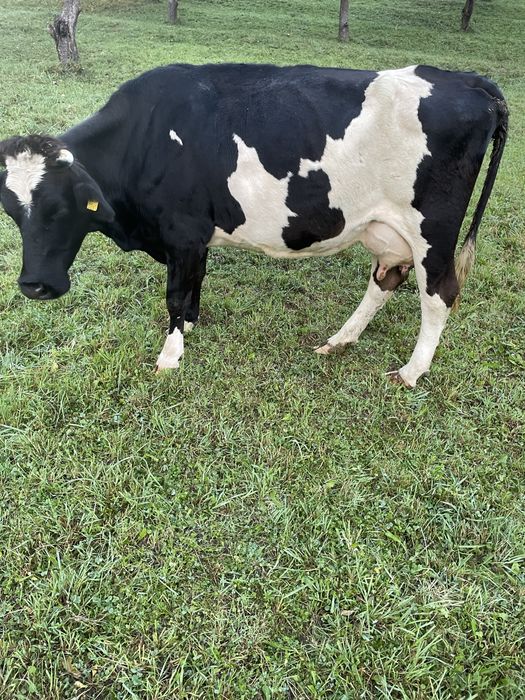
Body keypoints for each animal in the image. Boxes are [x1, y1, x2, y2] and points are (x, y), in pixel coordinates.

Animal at [0, 63, 507, 386]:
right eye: (12, 211)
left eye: (60, 208)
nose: (34, 286)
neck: (146, 137)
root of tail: (467, 80)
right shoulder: (195, 238)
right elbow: (196, 281)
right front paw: (191, 325)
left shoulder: (183, 231)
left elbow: (175, 293)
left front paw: (170, 356)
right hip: (387, 228)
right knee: (385, 279)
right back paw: (340, 341)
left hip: (431, 230)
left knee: (439, 294)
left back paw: (410, 372)